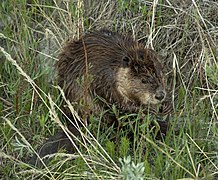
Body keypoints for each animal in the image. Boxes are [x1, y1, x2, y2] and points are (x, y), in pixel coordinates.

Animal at [29, 29, 169, 166]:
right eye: (144, 80)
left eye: (160, 74)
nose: (160, 95)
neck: (115, 65)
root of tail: (75, 121)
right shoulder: (103, 79)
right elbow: (115, 101)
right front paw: (142, 110)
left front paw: (164, 107)